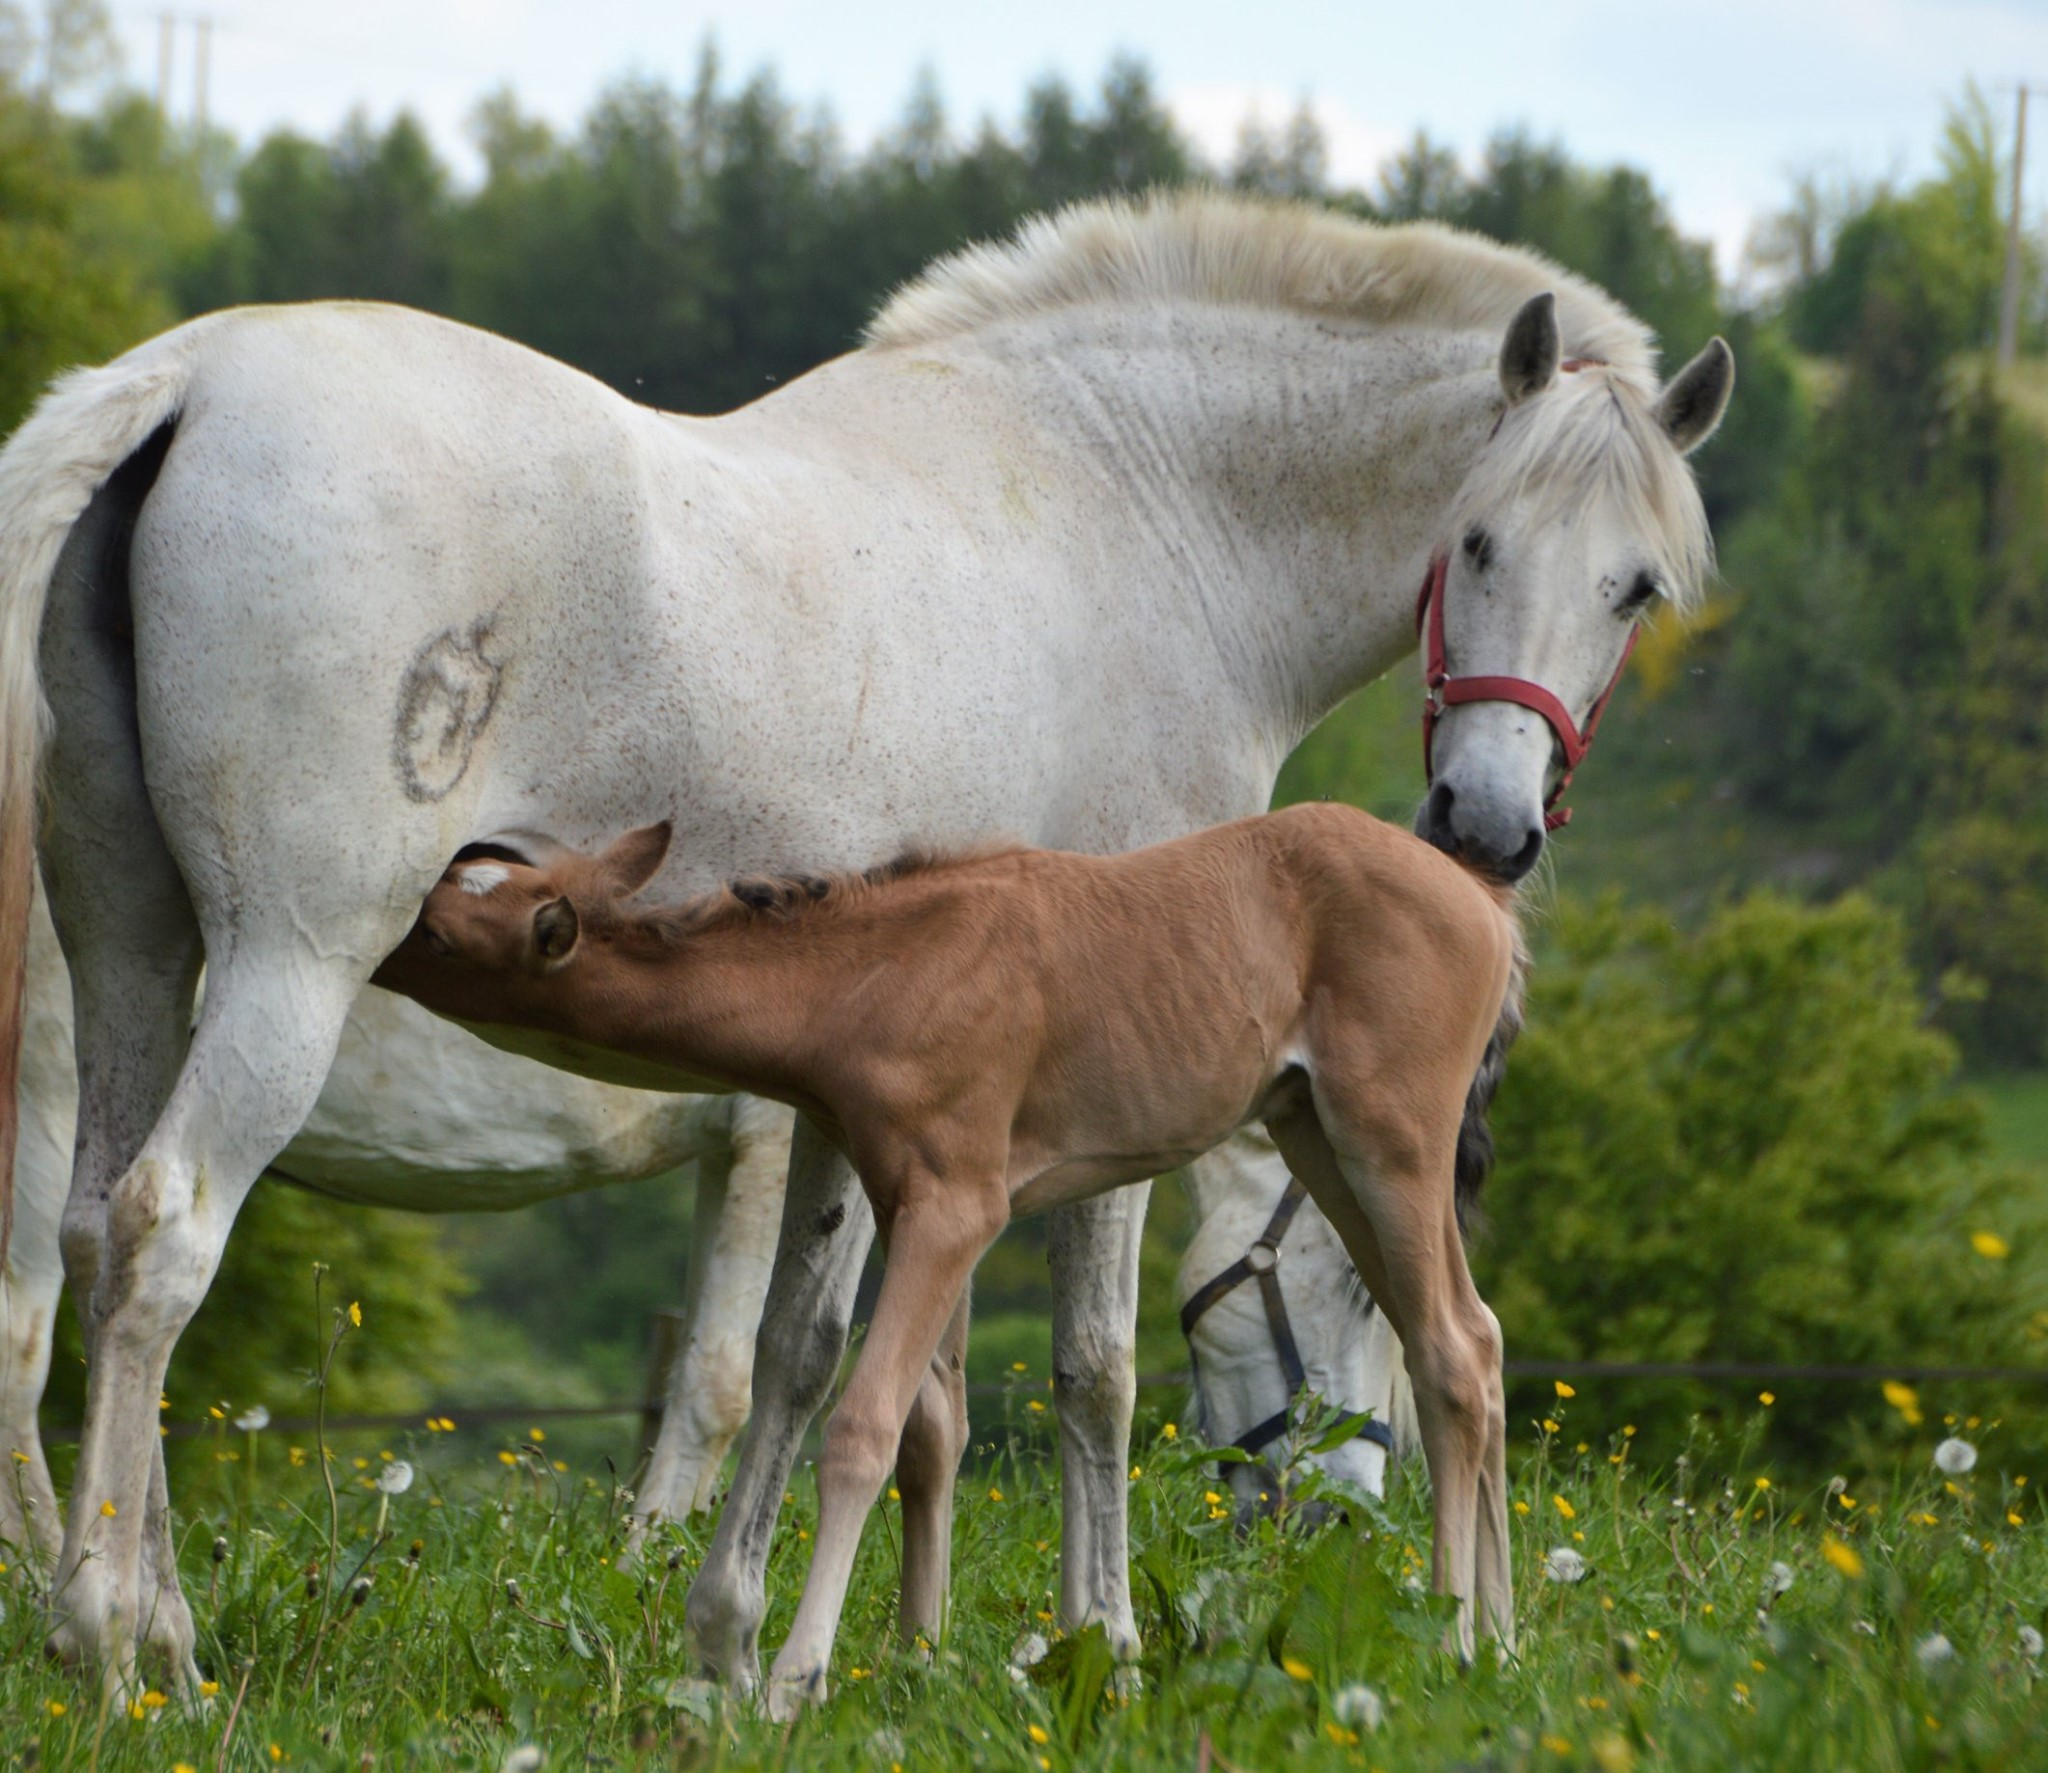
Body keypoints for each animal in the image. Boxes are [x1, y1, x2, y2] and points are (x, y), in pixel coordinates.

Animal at [374, 806, 1523, 1709]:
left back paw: (1453, 1631)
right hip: (1311, 1132)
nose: (373, 941)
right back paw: (1502, 1640)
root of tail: (1484, 904)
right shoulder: (892, 1195)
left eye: (439, 933)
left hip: (1390, 1136)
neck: (869, 975)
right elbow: (919, 1415)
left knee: (1447, 1349)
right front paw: (900, 1658)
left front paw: (794, 1681)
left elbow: (863, 1425)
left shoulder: (955, 1204)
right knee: (1472, 1335)